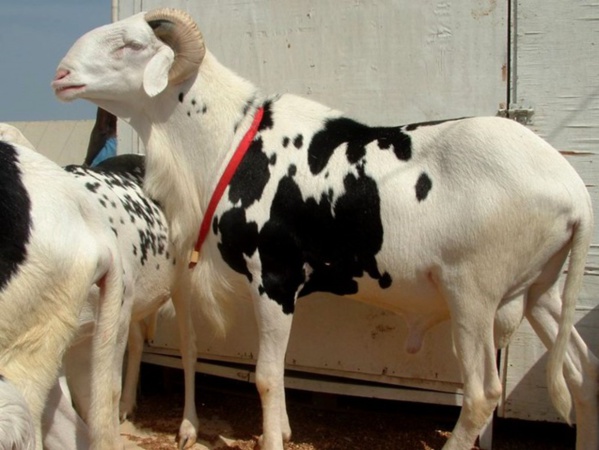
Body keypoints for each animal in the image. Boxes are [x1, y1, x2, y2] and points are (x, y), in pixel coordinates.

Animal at [54, 7, 599, 450]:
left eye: (131, 45)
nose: (60, 75)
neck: (232, 141)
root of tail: (574, 191)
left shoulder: (275, 278)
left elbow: (267, 377)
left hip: (474, 292)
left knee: (484, 393)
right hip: (541, 290)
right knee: (582, 374)